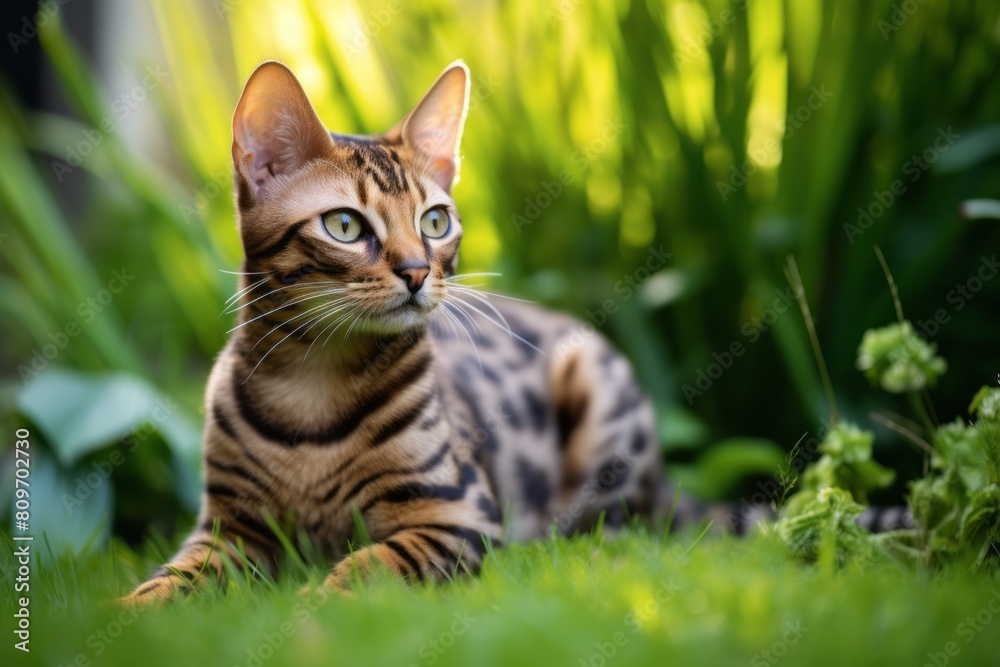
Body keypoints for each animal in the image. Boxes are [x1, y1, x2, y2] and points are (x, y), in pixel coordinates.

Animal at [123, 62, 664, 604]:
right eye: (344, 225)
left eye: (436, 221)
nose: (417, 272)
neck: (313, 385)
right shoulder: (229, 530)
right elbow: (175, 578)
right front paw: (131, 606)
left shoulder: (458, 514)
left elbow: (372, 565)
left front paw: (313, 603)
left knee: (616, 527)